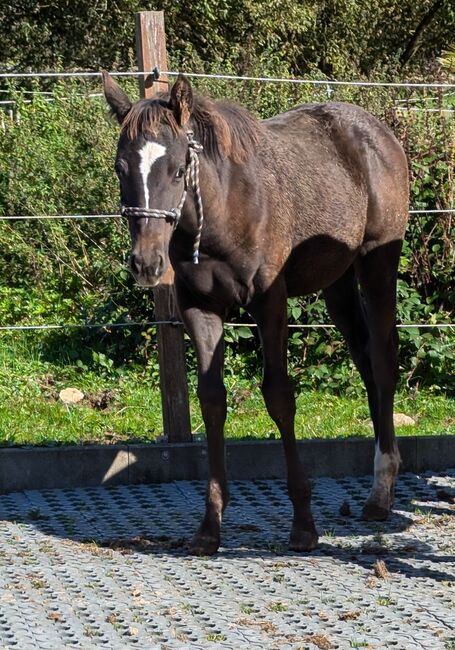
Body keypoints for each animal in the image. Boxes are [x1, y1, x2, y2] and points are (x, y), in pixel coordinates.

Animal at [103, 73, 410, 556]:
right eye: (120, 168)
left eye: (177, 169)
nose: (145, 264)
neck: (224, 208)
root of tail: (379, 132)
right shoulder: (200, 308)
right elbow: (212, 400)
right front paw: (209, 526)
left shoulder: (270, 302)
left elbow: (279, 396)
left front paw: (303, 524)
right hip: (336, 281)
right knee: (363, 359)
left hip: (377, 262)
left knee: (381, 361)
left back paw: (381, 492)